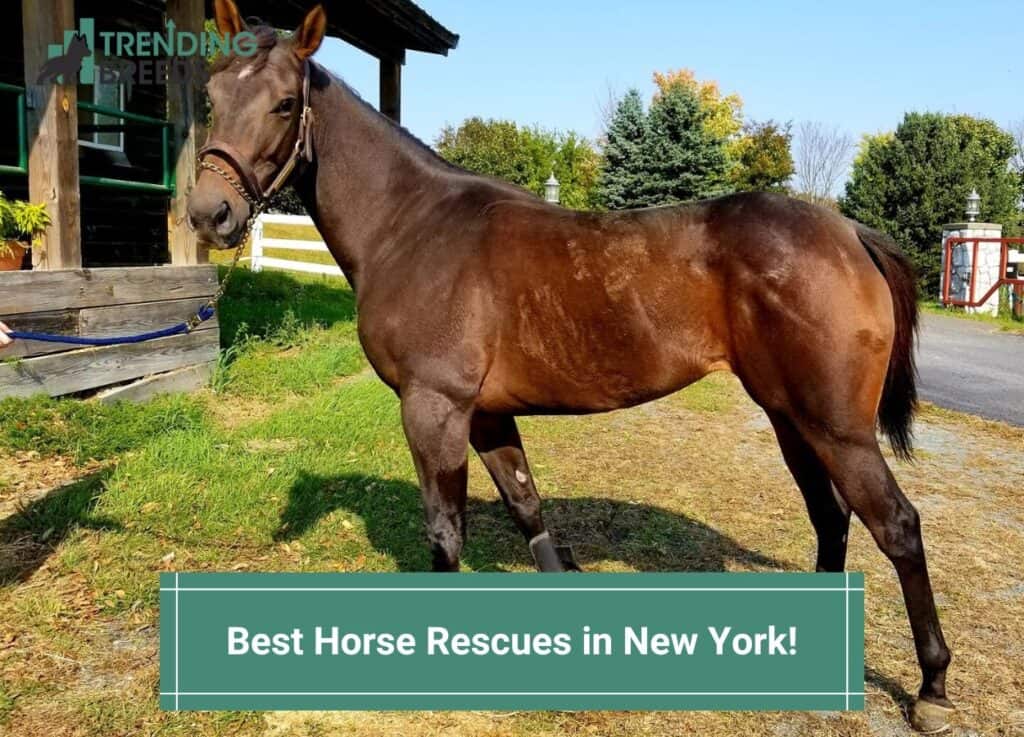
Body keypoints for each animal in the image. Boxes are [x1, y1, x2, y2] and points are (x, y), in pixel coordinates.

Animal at [187, 1, 953, 731]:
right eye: (211, 94)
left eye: (285, 103)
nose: (209, 214)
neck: (411, 226)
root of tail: (849, 230)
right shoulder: (486, 414)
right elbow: (528, 506)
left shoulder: (434, 407)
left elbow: (444, 529)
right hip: (791, 417)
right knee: (830, 517)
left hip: (836, 427)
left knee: (895, 525)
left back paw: (933, 688)